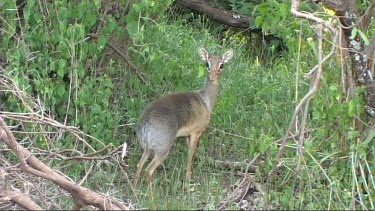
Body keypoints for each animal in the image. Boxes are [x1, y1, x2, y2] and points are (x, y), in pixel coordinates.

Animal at [134, 47, 234, 186]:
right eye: (207, 63)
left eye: (222, 65)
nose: (212, 76)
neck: (206, 101)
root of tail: (144, 123)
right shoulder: (196, 132)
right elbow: (190, 155)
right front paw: (188, 179)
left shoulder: (187, 135)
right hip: (163, 148)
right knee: (149, 170)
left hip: (148, 148)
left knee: (139, 165)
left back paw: (135, 189)